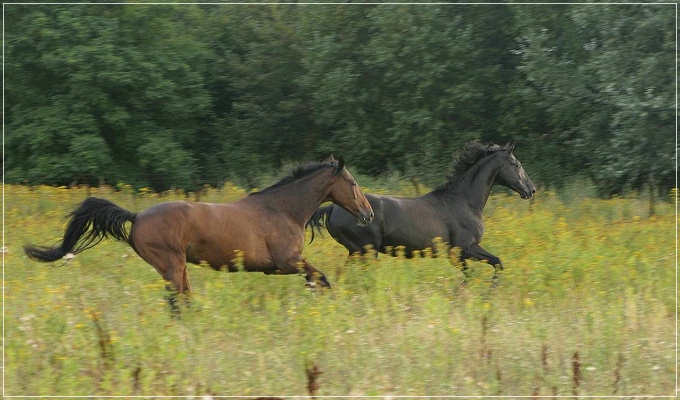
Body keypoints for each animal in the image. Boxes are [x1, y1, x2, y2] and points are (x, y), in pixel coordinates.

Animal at [25, 156, 372, 296]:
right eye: (353, 183)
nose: (368, 214)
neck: (282, 210)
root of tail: (137, 217)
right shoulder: (286, 262)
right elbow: (321, 277)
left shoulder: (279, 267)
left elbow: (316, 277)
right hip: (170, 264)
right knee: (177, 301)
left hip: (178, 268)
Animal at [308, 142, 536, 286]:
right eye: (517, 164)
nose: (531, 190)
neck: (464, 201)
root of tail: (332, 208)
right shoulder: (462, 250)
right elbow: (482, 270)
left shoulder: (465, 251)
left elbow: (495, 264)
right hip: (365, 250)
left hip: (356, 252)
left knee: (343, 275)